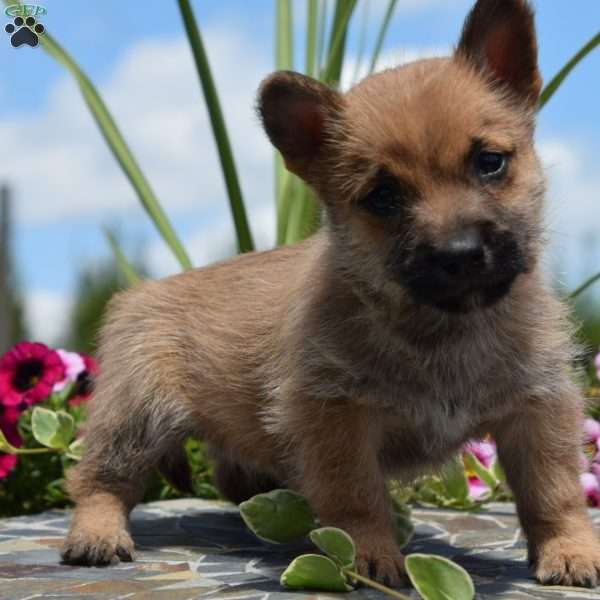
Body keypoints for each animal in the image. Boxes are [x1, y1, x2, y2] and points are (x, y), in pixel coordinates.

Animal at [61, 0, 600, 592]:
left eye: (489, 162)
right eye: (383, 196)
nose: (458, 254)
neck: (440, 327)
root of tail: (141, 294)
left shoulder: (537, 408)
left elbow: (554, 491)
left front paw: (571, 549)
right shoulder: (337, 417)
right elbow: (355, 496)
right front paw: (367, 555)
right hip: (136, 415)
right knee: (98, 479)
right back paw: (98, 534)